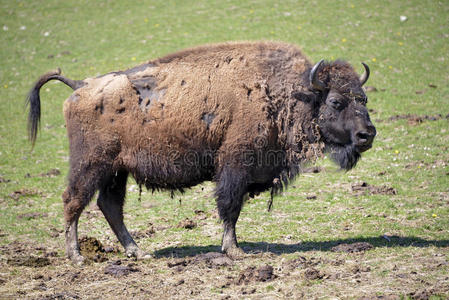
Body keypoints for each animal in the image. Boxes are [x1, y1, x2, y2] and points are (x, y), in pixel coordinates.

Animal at [28, 41, 374, 264]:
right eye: (335, 101)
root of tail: (80, 86)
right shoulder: (235, 167)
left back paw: (138, 252)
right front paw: (234, 250)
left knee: (109, 205)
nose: (367, 134)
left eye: (363, 98)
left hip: (116, 170)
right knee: (73, 201)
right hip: (91, 164)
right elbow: (230, 207)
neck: (288, 94)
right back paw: (76, 257)